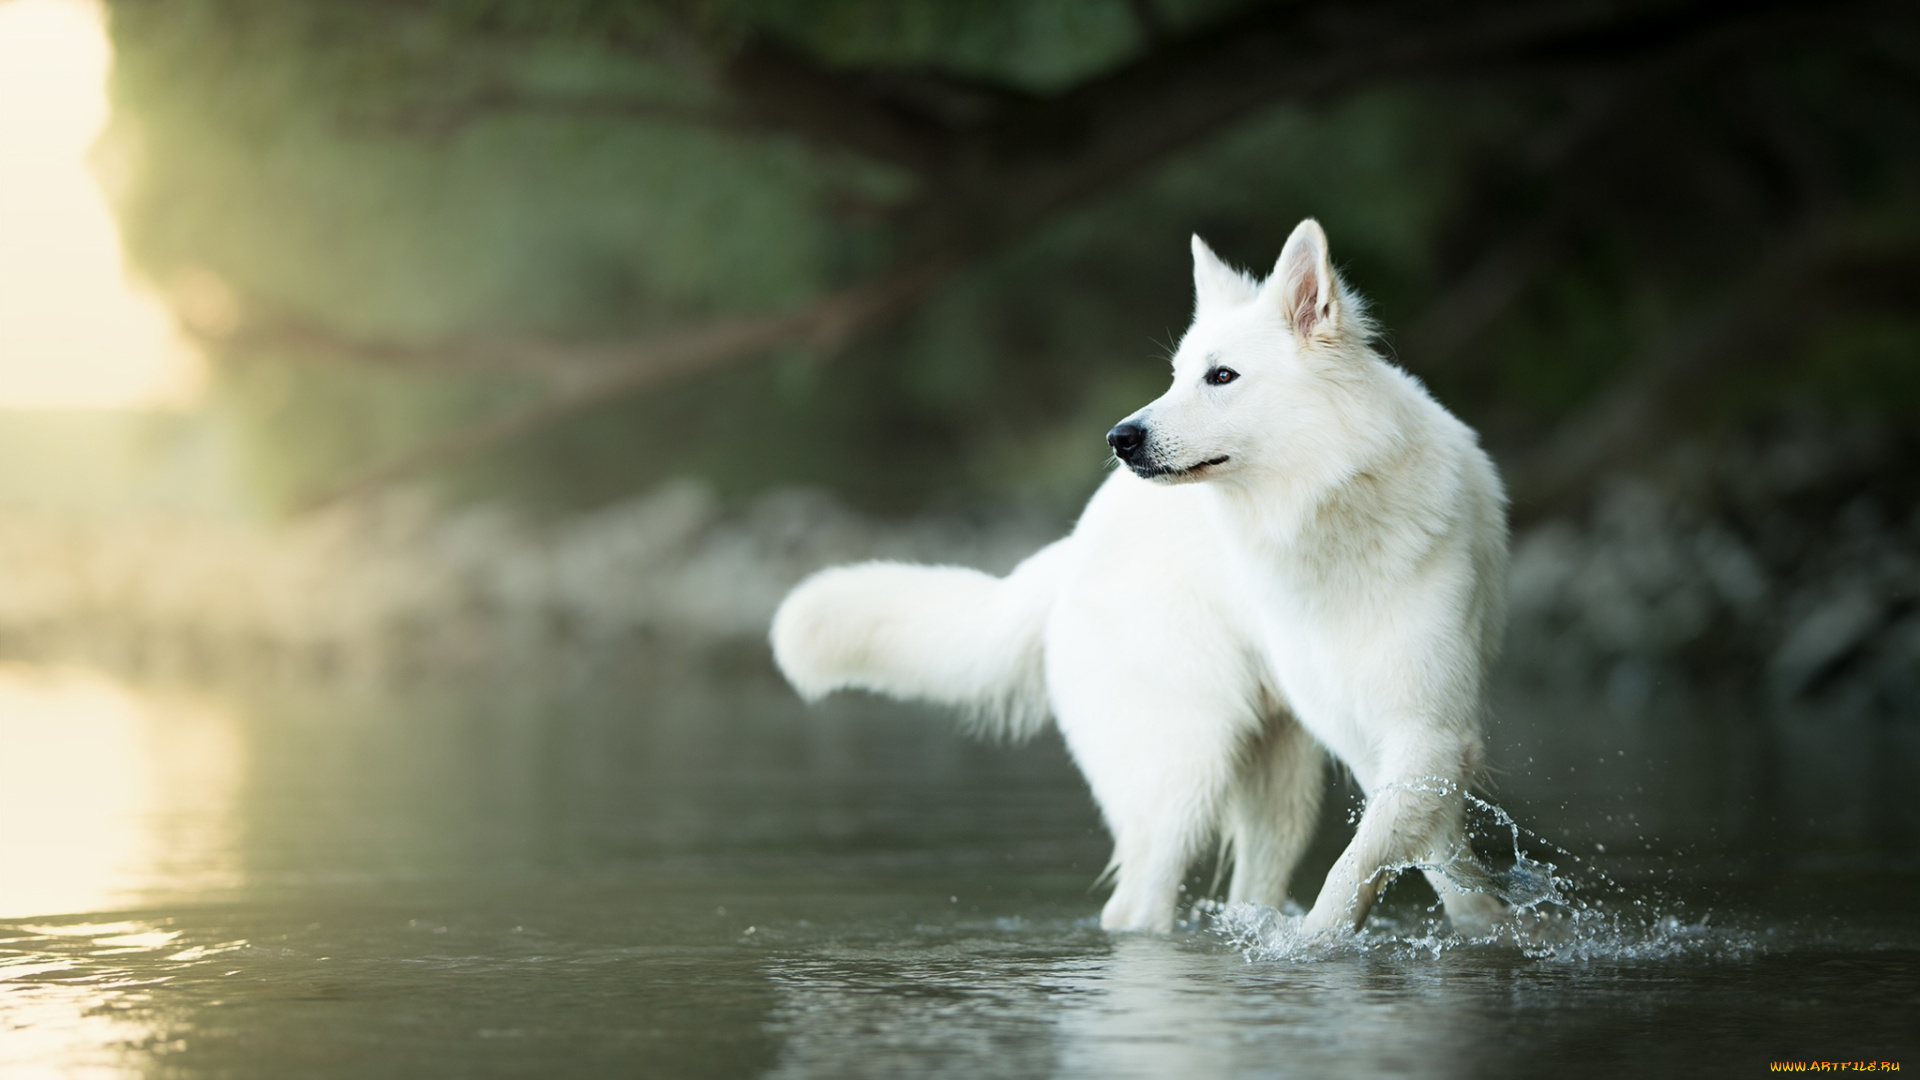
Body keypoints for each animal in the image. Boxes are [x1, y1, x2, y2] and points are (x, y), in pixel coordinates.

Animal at [771, 214, 1505, 930]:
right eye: (1177, 375)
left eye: (1221, 377)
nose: (1119, 439)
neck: (1329, 508)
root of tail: (1074, 546)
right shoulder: (1386, 736)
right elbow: (1369, 867)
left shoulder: (1425, 734)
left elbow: (1411, 864)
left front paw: (1500, 928)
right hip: (1186, 772)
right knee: (1137, 907)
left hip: (1277, 786)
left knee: (1250, 889)